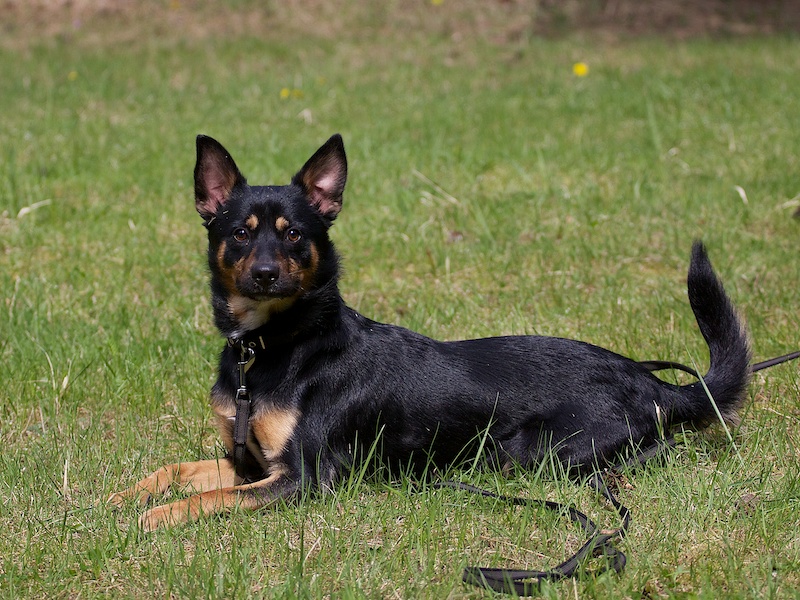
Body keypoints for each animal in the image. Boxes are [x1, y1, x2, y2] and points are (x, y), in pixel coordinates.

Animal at [109, 134, 751, 531]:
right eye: (240, 233)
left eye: (294, 235)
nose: (266, 273)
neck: (272, 347)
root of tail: (656, 386)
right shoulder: (248, 461)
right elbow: (178, 471)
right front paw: (124, 496)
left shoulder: (306, 478)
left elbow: (210, 495)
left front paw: (155, 517)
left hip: (533, 452)